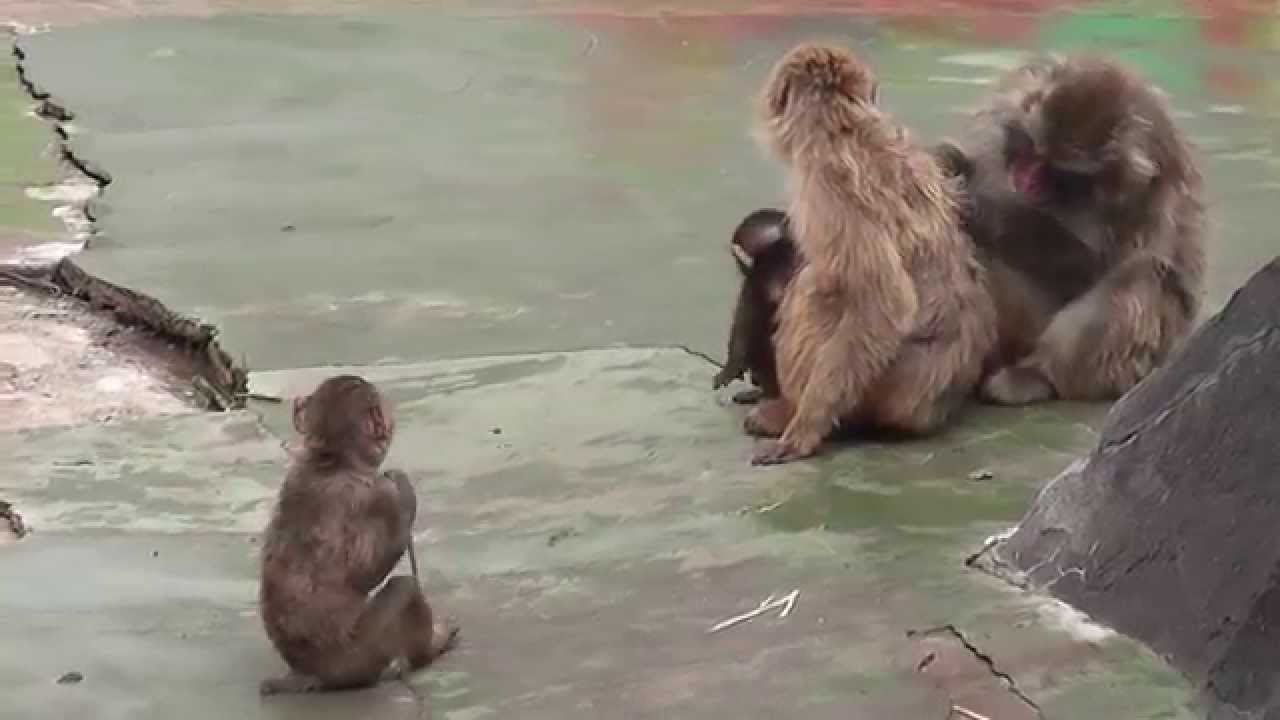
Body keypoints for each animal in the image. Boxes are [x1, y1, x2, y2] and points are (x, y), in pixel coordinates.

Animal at [258, 374, 458, 696]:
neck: (331, 460)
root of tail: (308, 673)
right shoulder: (378, 494)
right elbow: (365, 573)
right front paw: (405, 488)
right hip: (357, 658)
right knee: (405, 588)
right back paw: (429, 650)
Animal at [745, 43, 998, 466]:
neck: (842, 124)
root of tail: (928, 412)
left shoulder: (826, 184)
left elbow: (884, 299)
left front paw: (803, 431)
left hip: (877, 391)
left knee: (818, 286)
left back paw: (789, 412)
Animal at [935, 54, 1205, 404]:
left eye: (1060, 171)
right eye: (1033, 150)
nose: (1027, 179)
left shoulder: (1139, 189)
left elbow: (1091, 263)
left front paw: (977, 204)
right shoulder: (1005, 104)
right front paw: (950, 160)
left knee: (1142, 274)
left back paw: (1038, 375)